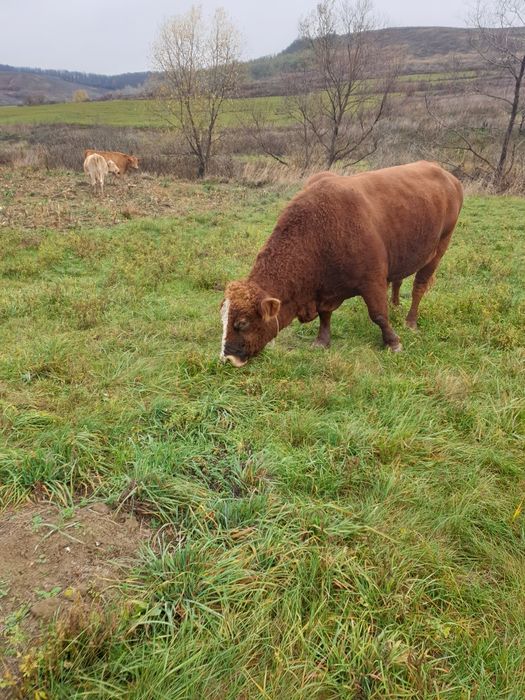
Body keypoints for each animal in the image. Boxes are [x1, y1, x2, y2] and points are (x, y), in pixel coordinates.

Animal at [220, 161, 463, 368]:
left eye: (242, 323)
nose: (228, 358)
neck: (318, 233)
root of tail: (446, 174)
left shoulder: (372, 280)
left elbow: (378, 314)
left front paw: (393, 342)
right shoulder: (325, 289)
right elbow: (325, 315)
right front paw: (322, 340)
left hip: (439, 248)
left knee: (419, 287)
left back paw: (410, 321)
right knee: (398, 281)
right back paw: (395, 304)